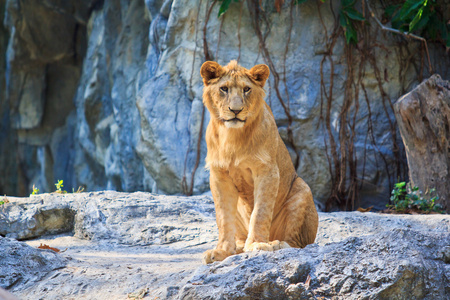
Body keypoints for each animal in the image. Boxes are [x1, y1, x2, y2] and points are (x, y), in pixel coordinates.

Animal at [200, 59, 320, 264]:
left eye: (246, 89)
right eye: (224, 89)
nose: (236, 110)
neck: (232, 136)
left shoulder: (267, 171)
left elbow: (260, 212)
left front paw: (257, 244)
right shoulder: (219, 175)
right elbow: (223, 217)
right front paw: (221, 251)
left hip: (302, 190)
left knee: (297, 243)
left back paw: (276, 243)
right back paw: (238, 247)